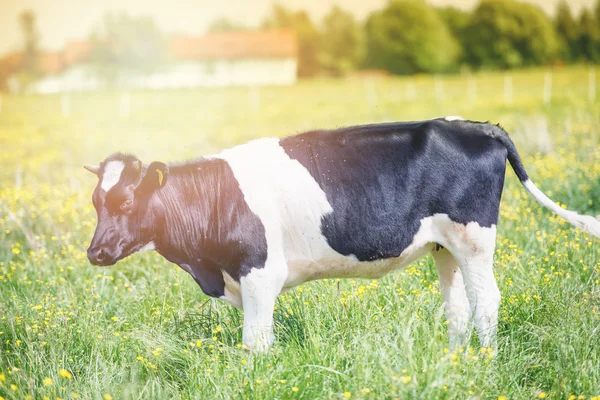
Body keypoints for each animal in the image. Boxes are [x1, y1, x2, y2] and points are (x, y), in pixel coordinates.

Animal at [83, 117, 600, 352]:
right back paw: (457, 359)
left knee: (487, 300)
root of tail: (475, 125)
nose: (96, 251)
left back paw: (485, 359)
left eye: (126, 201)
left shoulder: (260, 273)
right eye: (95, 202)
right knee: (459, 306)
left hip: (473, 239)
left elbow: (255, 342)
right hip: (445, 246)